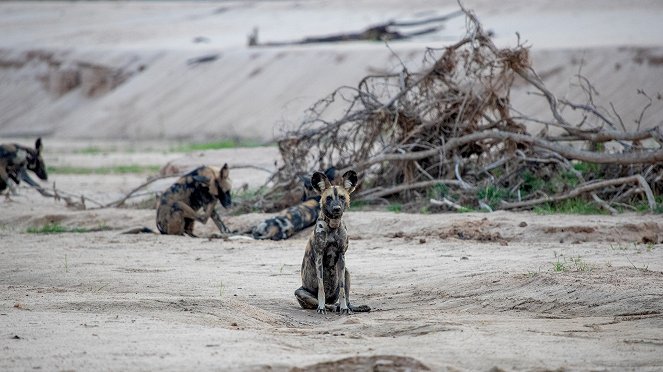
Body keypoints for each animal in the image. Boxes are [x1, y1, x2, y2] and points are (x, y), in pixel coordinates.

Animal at [294, 170, 370, 316]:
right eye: (328, 198)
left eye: (342, 197)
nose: (336, 208)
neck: (333, 225)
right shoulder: (319, 256)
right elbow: (321, 288)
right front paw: (321, 307)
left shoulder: (341, 256)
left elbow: (342, 290)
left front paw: (345, 308)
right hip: (300, 292)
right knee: (327, 304)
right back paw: (330, 307)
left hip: (346, 272)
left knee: (345, 299)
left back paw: (351, 307)